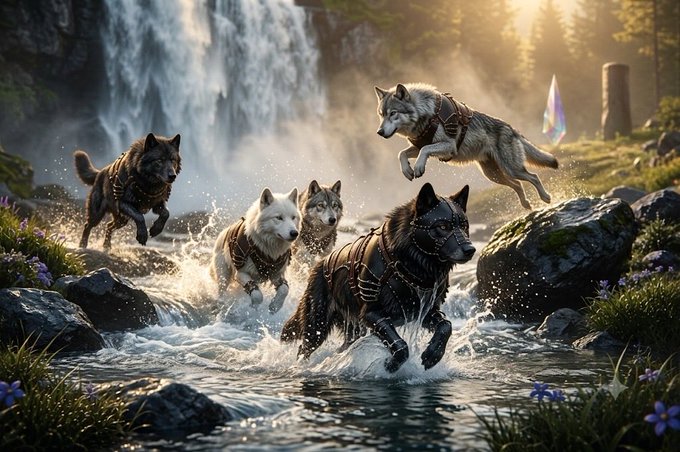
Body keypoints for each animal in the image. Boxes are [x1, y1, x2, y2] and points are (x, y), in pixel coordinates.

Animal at [281, 183, 475, 373]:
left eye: (464, 226)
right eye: (443, 226)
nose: (470, 249)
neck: (408, 264)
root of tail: (318, 265)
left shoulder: (425, 310)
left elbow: (446, 326)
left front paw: (433, 355)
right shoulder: (373, 314)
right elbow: (401, 345)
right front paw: (391, 364)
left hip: (353, 330)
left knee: (342, 347)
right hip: (317, 326)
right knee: (303, 348)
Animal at [375, 83, 558, 209]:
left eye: (393, 113)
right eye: (381, 115)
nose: (379, 132)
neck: (427, 114)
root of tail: (512, 128)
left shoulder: (448, 146)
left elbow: (424, 151)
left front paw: (418, 167)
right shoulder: (418, 146)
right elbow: (401, 154)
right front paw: (407, 170)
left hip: (511, 169)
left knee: (533, 176)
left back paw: (546, 197)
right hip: (493, 175)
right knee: (518, 184)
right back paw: (526, 204)